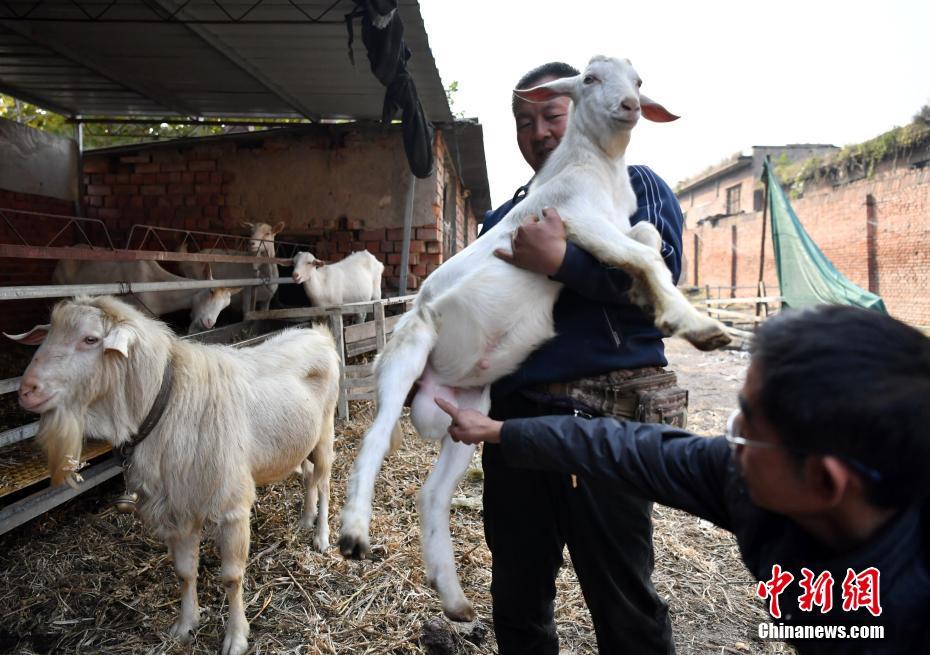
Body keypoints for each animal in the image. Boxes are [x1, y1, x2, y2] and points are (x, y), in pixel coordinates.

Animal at [7, 298, 340, 655]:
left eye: (90, 339)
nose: (26, 391)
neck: (167, 402)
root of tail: (318, 333)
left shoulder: (231, 507)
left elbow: (232, 577)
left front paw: (236, 637)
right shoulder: (177, 506)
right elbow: (184, 572)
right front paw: (184, 625)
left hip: (325, 432)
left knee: (324, 483)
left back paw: (321, 536)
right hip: (296, 445)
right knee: (308, 477)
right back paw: (305, 519)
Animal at [338, 55, 728, 620]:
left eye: (639, 81)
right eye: (589, 78)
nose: (630, 105)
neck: (601, 170)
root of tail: (432, 381)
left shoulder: (614, 225)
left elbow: (651, 239)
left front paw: (645, 297)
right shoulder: (578, 219)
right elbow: (647, 253)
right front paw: (693, 324)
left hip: (468, 410)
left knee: (432, 494)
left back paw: (455, 600)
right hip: (406, 353)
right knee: (373, 438)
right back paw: (353, 534)